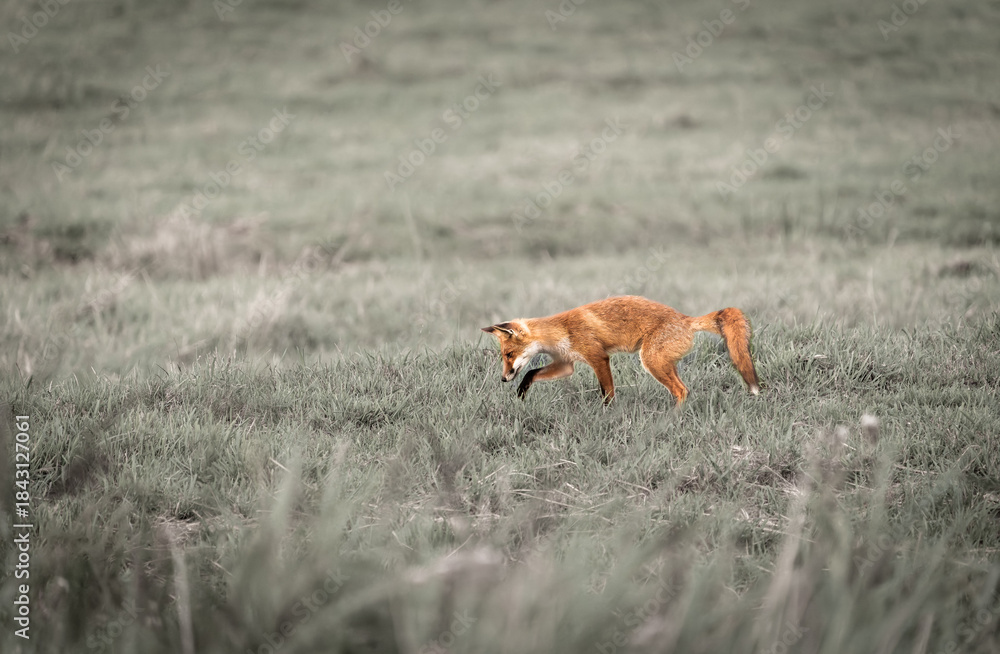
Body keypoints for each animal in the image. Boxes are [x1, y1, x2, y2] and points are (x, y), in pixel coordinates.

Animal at [481, 296, 760, 406]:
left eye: (508, 355)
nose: (503, 378)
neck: (561, 331)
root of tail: (686, 318)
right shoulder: (565, 364)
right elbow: (532, 373)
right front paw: (521, 392)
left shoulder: (598, 357)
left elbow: (607, 393)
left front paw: (606, 415)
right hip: (663, 362)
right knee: (683, 390)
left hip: (651, 360)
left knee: (682, 391)